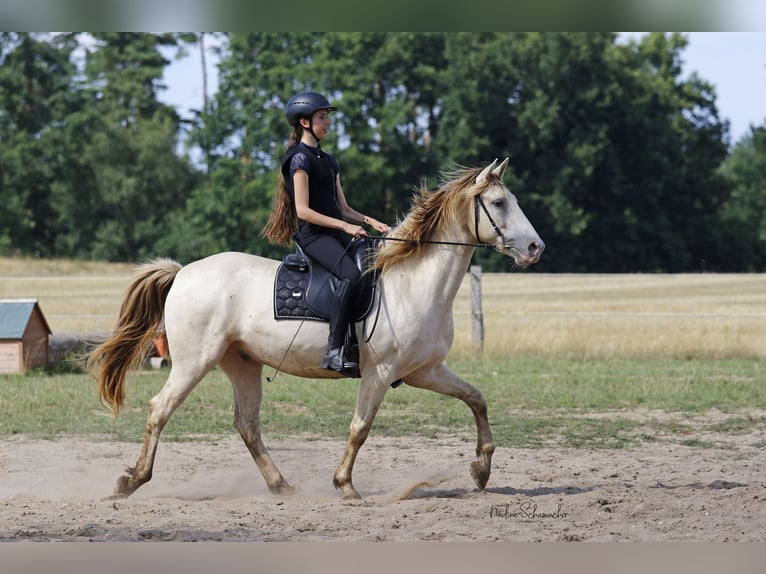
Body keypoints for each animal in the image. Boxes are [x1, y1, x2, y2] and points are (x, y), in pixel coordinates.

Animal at [88, 160, 544, 502]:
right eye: (499, 202)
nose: (536, 248)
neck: (415, 282)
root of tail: (182, 273)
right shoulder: (381, 372)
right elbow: (360, 428)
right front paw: (345, 485)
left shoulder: (424, 371)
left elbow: (476, 399)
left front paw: (481, 469)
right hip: (193, 361)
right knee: (160, 409)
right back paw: (131, 481)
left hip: (241, 363)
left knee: (247, 424)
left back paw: (281, 486)